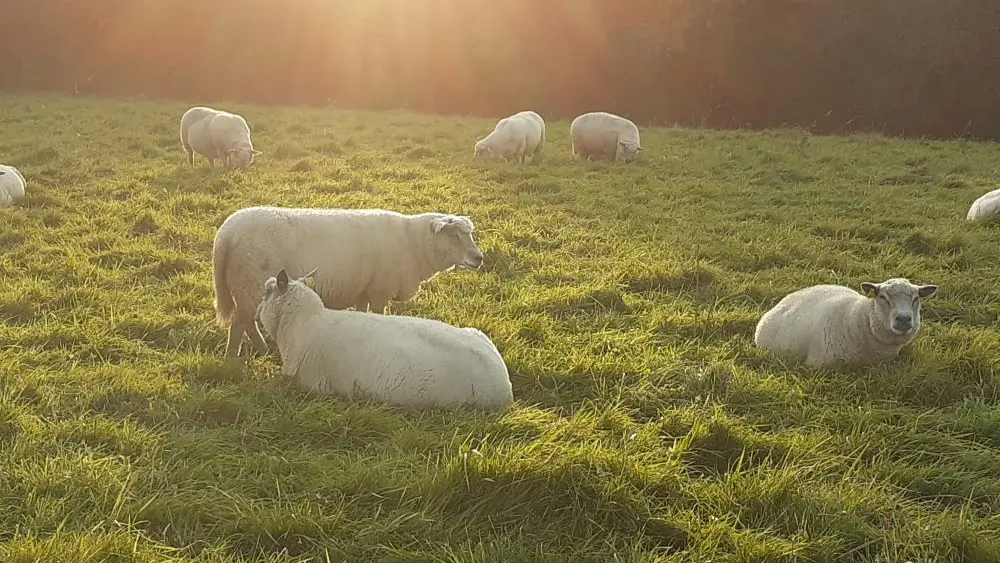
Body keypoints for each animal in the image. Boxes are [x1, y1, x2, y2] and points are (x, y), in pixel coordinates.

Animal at [213, 206, 486, 358]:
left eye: (469, 235)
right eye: (454, 236)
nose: (479, 258)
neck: (413, 244)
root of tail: (225, 234)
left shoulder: (364, 290)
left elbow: (362, 312)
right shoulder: (379, 290)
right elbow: (378, 314)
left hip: (245, 286)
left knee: (246, 322)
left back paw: (261, 351)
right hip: (249, 282)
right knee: (240, 323)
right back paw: (233, 358)